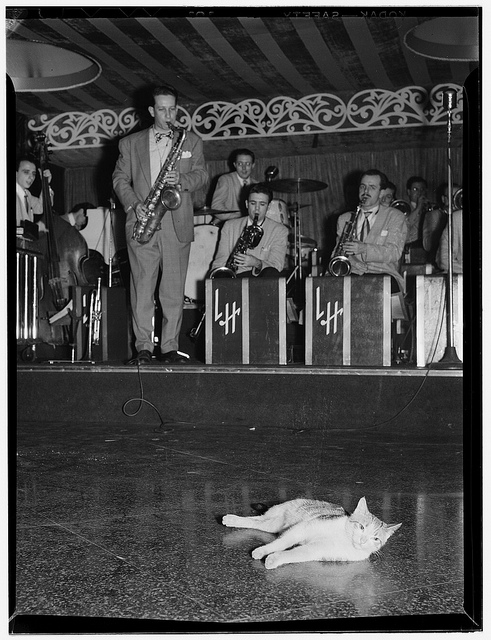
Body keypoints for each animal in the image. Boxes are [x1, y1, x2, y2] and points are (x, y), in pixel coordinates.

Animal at [221, 496, 402, 568]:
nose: (363, 541)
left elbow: (295, 553)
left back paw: (232, 520)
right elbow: (282, 542)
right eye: (362, 527)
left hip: (273, 525)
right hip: (281, 512)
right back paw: (231, 519)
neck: (344, 538)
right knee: (258, 519)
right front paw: (263, 550)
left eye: (376, 538)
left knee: (258, 523)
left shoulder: (317, 550)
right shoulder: (304, 527)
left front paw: (274, 559)